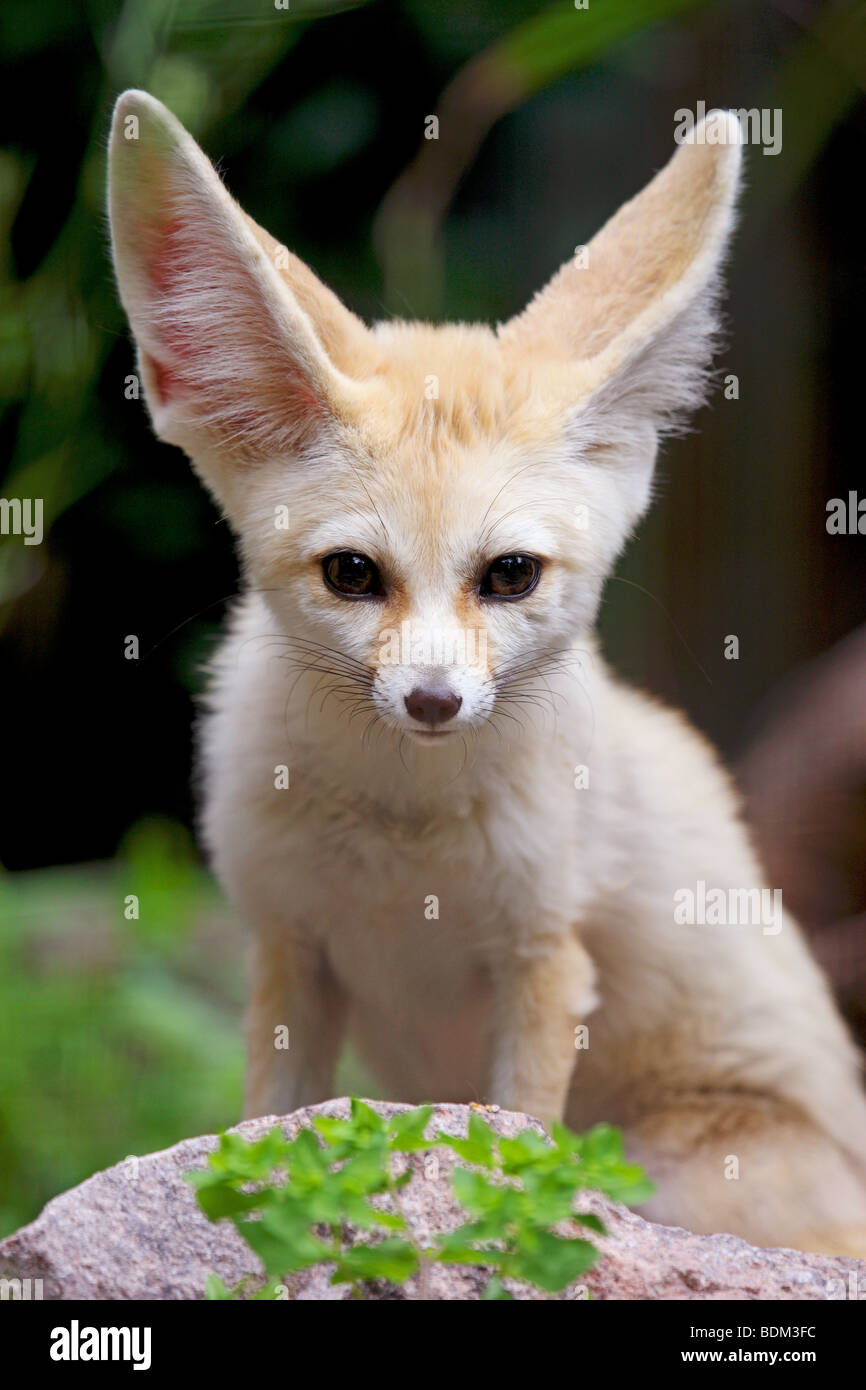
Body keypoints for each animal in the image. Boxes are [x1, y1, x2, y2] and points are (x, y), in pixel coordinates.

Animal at [108, 92, 866, 1256]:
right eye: (352, 574)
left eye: (509, 575)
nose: (432, 701)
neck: (402, 840)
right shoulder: (290, 947)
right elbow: (266, 1129)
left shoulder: (545, 958)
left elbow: (519, 1149)